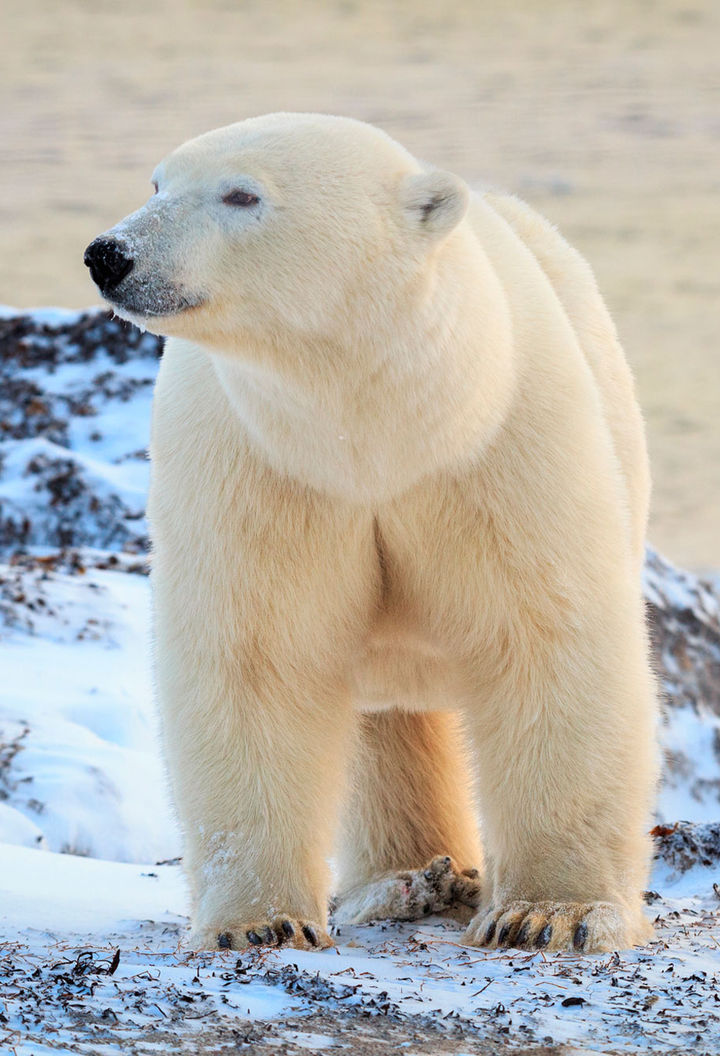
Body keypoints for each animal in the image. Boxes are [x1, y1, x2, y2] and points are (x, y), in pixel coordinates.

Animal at [83, 115, 654, 958]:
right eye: (157, 183)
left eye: (242, 193)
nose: (109, 254)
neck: (378, 430)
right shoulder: (263, 466)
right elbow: (257, 657)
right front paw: (259, 922)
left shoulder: (499, 448)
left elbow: (548, 637)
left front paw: (548, 913)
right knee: (388, 729)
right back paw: (403, 880)